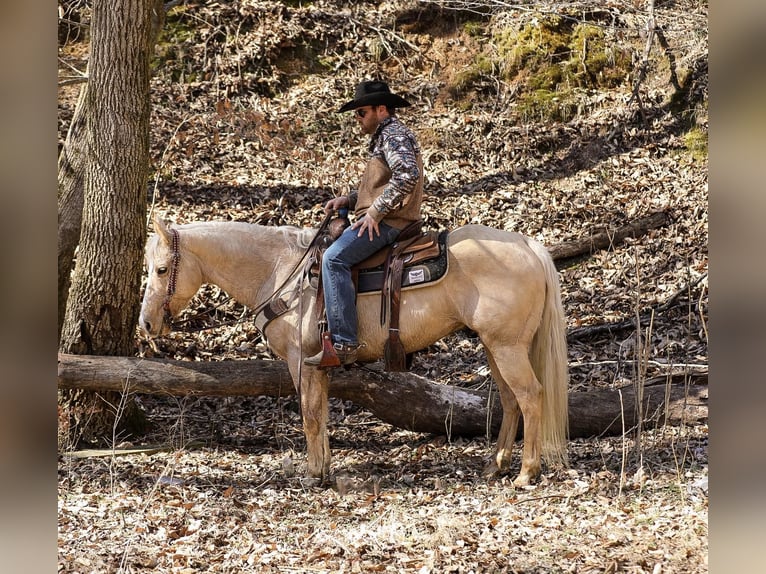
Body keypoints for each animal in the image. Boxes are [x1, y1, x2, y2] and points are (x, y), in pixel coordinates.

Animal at [140, 215, 568, 486]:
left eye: (161, 270)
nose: (145, 324)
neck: (282, 273)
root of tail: (530, 246)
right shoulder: (320, 367)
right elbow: (322, 414)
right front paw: (325, 468)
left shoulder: (302, 363)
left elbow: (311, 417)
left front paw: (314, 475)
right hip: (496, 347)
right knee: (510, 399)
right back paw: (497, 464)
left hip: (507, 347)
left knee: (531, 396)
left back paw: (527, 472)